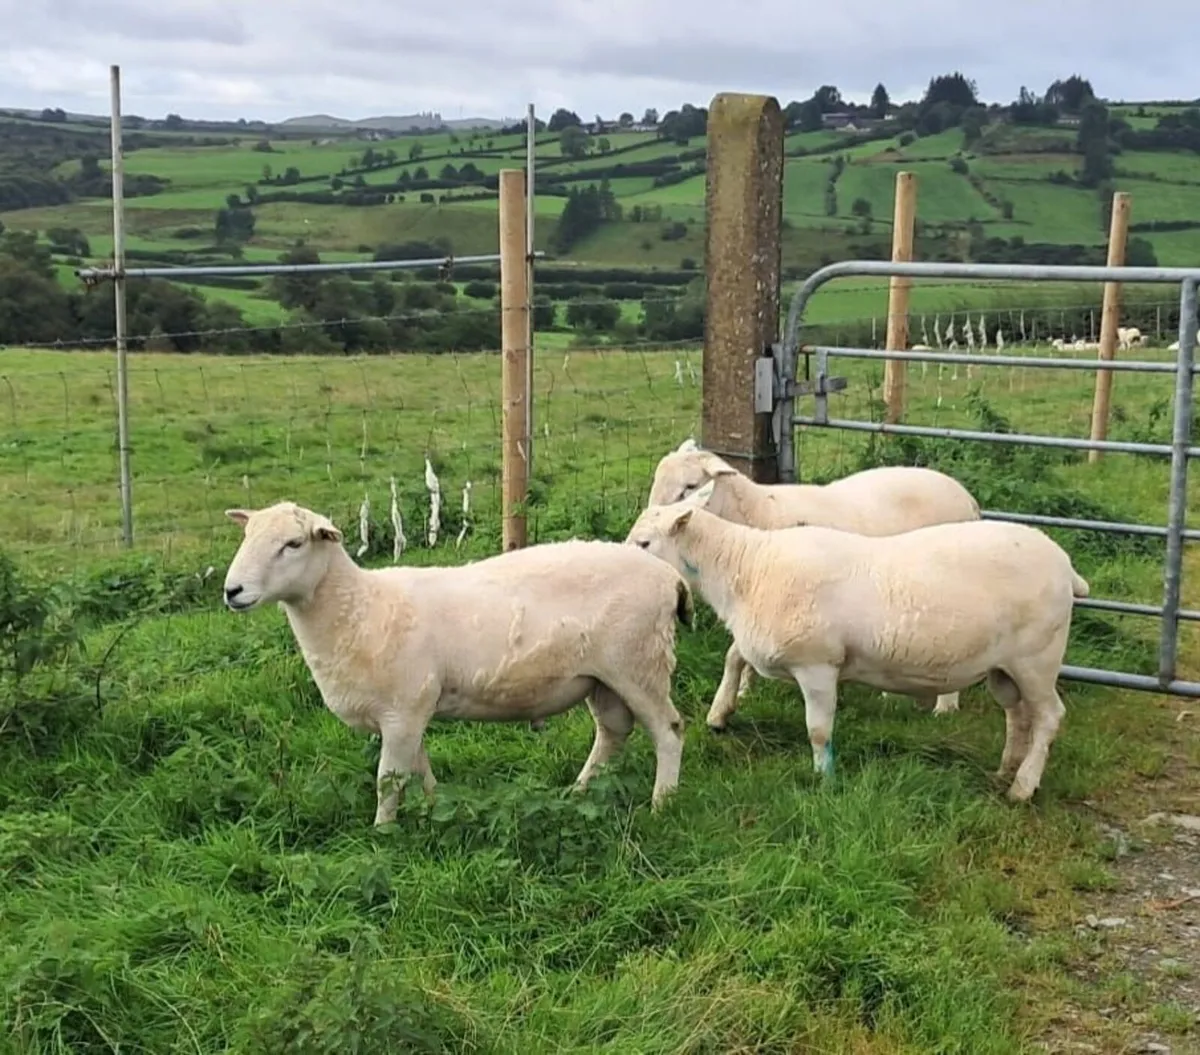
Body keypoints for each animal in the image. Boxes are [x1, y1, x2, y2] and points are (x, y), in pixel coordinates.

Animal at [222, 501, 693, 825]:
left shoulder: (401, 710)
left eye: (294, 543)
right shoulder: (412, 711)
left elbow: (388, 781)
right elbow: (418, 769)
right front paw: (435, 807)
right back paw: (579, 792)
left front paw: (382, 834)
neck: (359, 608)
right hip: (600, 677)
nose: (232, 591)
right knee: (613, 732)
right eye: (245, 538)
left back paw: (662, 804)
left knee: (669, 730)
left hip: (639, 662)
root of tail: (670, 578)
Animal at [625, 483, 1089, 802]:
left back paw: (1023, 787)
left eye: (645, 543)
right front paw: (722, 714)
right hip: (1005, 667)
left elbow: (818, 731)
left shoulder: (818, 664)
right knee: (1018, 715)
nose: (619, 561)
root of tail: (1066, 566)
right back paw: (1006, 770)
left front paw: (823, 779)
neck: (749, 566)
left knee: (1049, 716)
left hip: (1038, 658)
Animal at [647, 439, 982, 715]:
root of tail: (968, 498)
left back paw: (945, 707)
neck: (755, 512)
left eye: (689, 486)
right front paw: (744, 691)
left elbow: (737, 654)